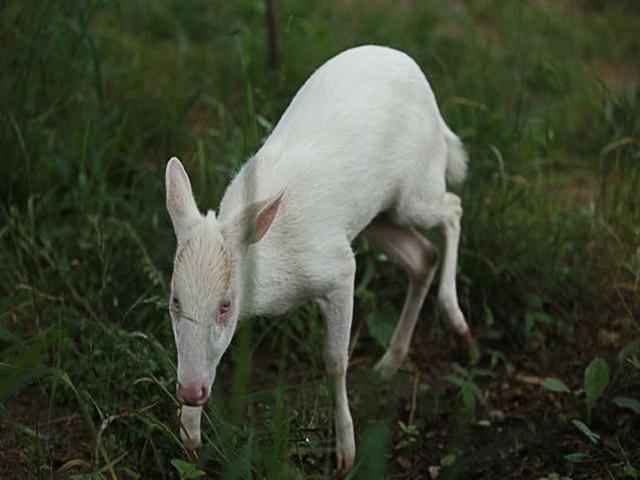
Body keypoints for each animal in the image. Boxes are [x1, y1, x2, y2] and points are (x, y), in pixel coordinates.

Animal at [165, 45, 470, 472]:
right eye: (175, 300)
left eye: (225, 305)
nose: (190, 392)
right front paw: (190, 439)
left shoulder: (338, 267)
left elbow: (335, 359)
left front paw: (347, 454)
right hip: (378, 216)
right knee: (423, 255)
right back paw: (389, 364)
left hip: (416, 190)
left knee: (453, 208)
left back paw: (458, 325)